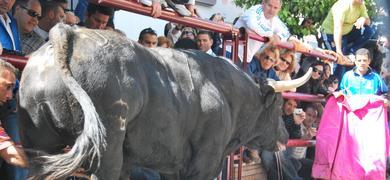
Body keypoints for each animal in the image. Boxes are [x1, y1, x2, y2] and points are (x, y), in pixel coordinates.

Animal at [17, 24, 310, 179]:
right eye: (277, 108)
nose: (285, 135)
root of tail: (70, 32)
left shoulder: (170, 163)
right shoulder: (205, 160)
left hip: (39, 139)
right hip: (107, 143)